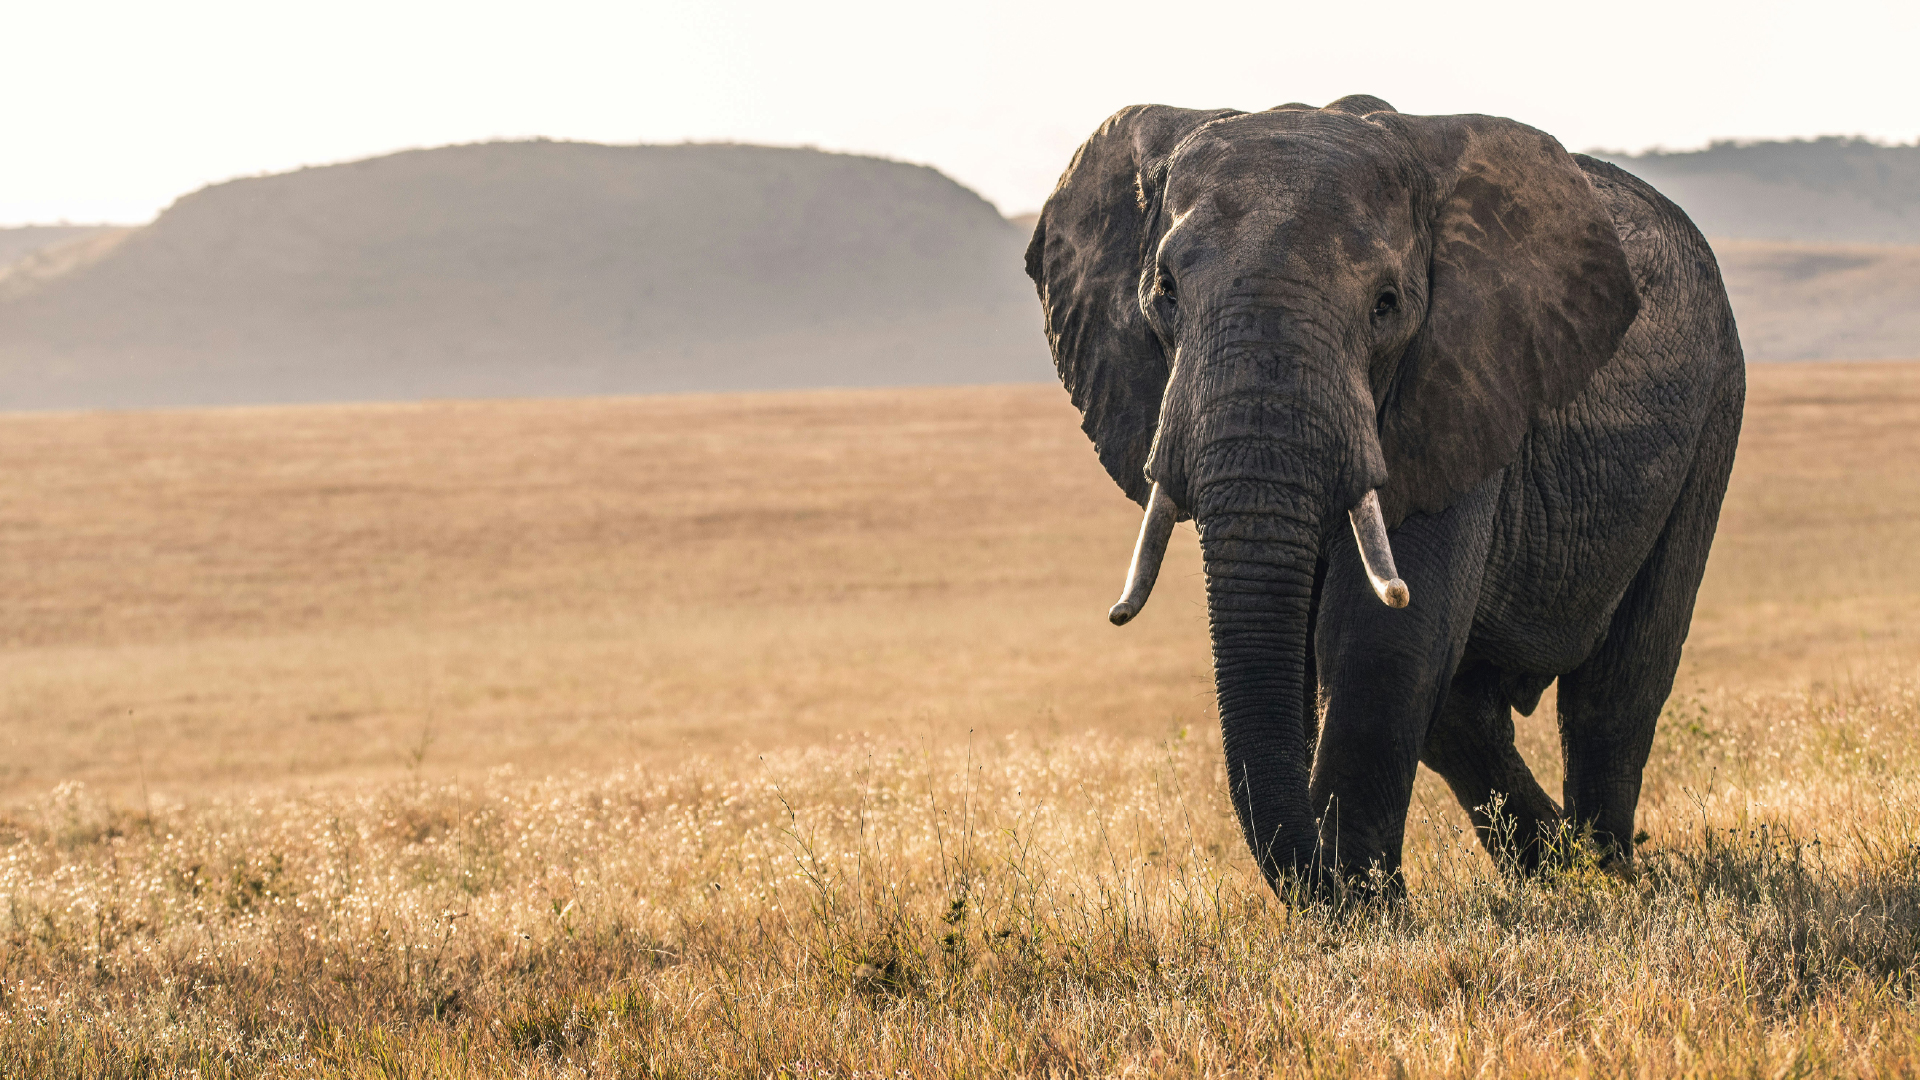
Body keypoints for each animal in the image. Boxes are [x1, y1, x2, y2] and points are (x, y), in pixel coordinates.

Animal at [1024, 95, 1744, 892]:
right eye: (1165, 293)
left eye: (1387, 305)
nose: (1324, 875)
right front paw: (1355, 896)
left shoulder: (1460, 380)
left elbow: (1380, 638)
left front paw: (1364, 907)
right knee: (1464, 711)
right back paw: (1558, 869)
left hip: (1715, 407)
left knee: (1616, 690)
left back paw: (1606, 877)